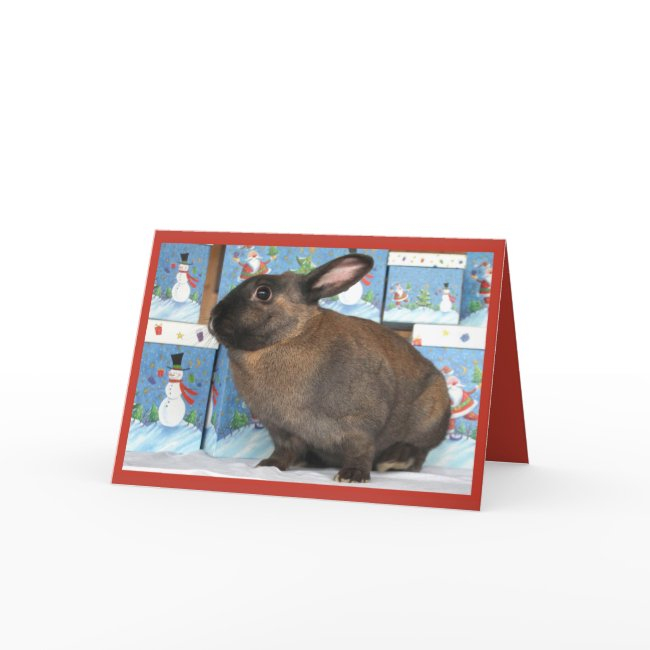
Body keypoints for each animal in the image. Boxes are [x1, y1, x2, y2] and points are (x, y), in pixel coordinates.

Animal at [208, 253, 451, 483]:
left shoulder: (359, 424)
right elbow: (283, 451)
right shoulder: (281, 429)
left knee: (418, 454)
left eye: (263, 293)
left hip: (428, 420)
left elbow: (360, 450)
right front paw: (269, 465)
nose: (213, 318)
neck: (290, 336)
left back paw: (392, 461)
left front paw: (352, 475)